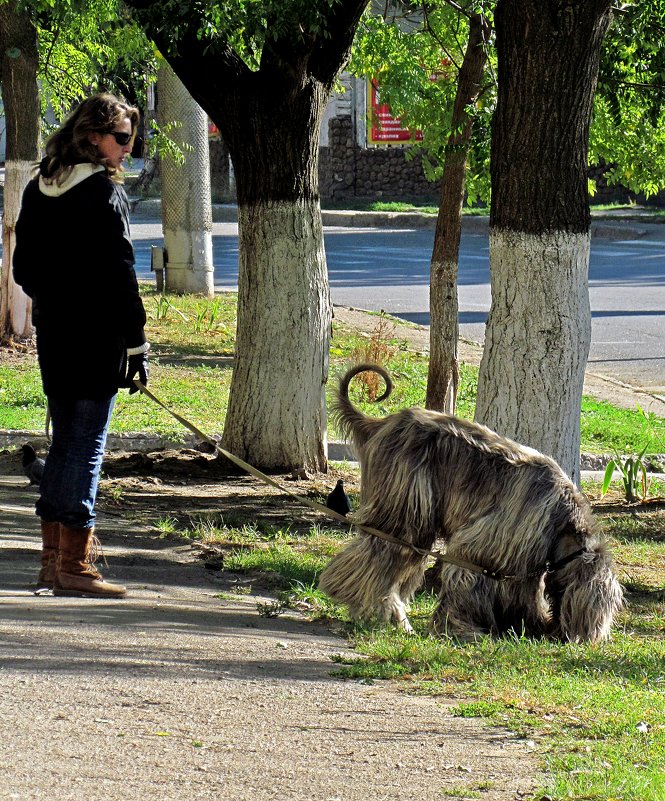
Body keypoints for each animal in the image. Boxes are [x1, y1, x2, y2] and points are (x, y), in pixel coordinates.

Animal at [320, 362, 624, 644]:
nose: (591, 639)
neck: (563, 525)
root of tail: (381, 424)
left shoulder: (523, 560)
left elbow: (522, 594)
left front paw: (527, 625)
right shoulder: (485, 546)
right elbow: (467, 579)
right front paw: (460, 627)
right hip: (406, 503)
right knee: (381, 554)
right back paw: (378, 608)